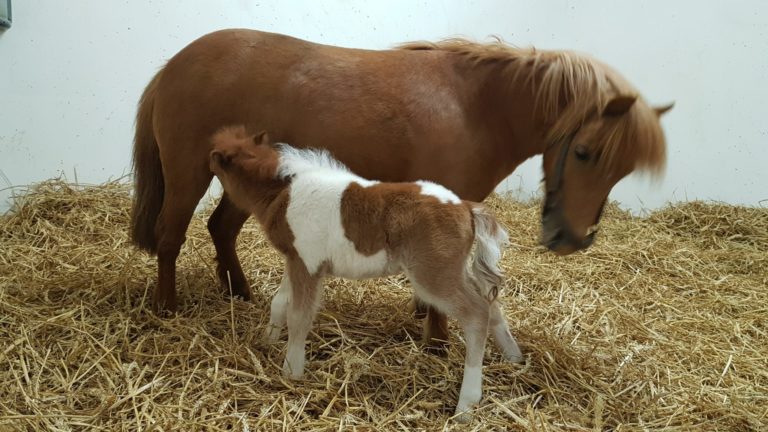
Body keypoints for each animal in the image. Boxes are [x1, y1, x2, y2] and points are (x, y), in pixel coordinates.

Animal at [129, 28, 668, 350]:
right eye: (584, 152)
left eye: (622, 170)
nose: (571, 238)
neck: (476, 107)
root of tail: (175, 64)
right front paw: (437, 340)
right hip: (188, 175)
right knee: (171, 237)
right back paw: (167, 308)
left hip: (243, 183)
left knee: (220, 229)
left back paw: (239, 293)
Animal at [207, 126, 524, 416]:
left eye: (219, 158)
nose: (207, 161)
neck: (284, 194)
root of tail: (468, 208)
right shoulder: (296, 259)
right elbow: (279, 302)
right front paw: (268, 342)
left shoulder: (307, 265)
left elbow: (299, 317)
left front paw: (291, 371)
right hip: (454, 270)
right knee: (491, 303)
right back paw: (515, 358)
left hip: (433, 275)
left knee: (476, 314)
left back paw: (466, 404)